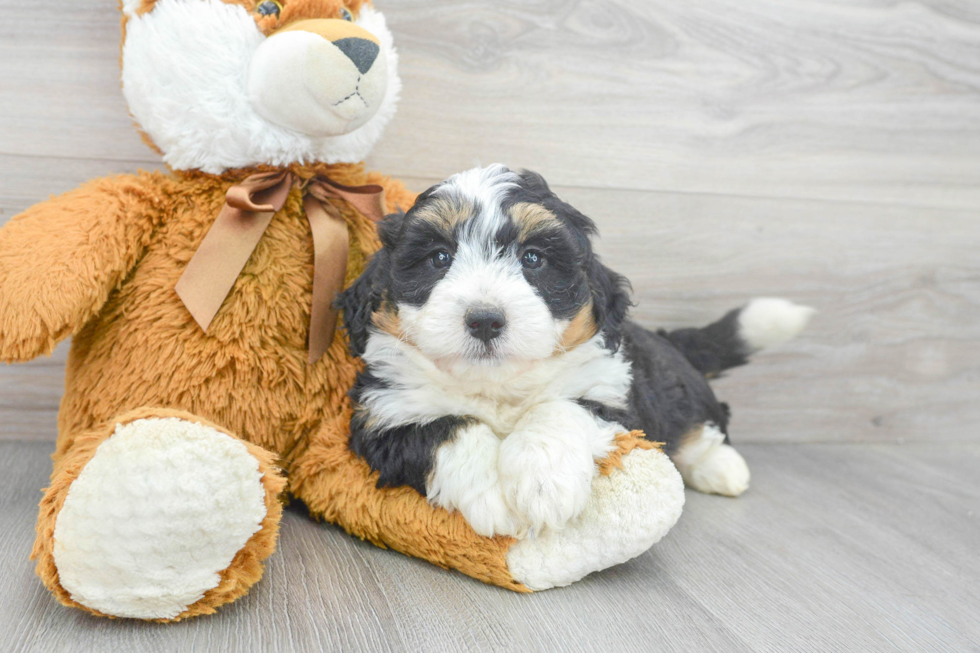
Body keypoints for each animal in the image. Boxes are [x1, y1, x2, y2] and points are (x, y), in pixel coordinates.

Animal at [340, 166, 816, 536]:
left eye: (533, 259)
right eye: (439, 258)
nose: (485, 319)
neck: (497, 386)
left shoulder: (611, 395)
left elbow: (558, 408)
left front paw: (544, 486)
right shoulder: (387, 414)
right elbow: (450, 428)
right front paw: (493, 495)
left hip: (679, 391)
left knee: (705, 424)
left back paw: (723, 468)